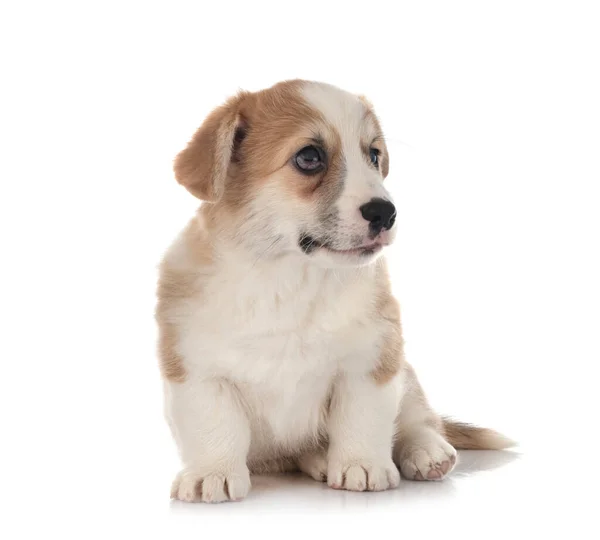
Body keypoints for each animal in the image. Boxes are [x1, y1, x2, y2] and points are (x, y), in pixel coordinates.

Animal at [156, 79, 510, 502]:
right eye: (309, 157)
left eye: (373, 155)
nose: (386, 213)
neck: (287, 277)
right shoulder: (198, 371)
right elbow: (215, 425)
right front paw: (212, 473)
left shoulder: (371, 361)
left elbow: (361, 418)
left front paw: (363, 465)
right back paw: (319, 459)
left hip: (406, 375)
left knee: (420, 419)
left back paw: (427, 452)